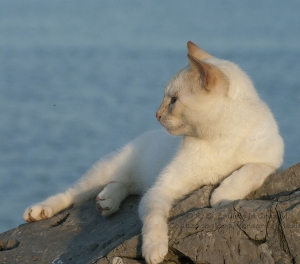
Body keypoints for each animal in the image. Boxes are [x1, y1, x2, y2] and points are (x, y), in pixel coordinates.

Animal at [23, 42, 284, 262]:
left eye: (174, 100)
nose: (156, 115)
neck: (218, 137)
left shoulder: (272, 161)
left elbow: (251, 169)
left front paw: (224, 194)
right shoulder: (160, 191)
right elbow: (154, 221)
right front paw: (154, 249)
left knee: (125, 185)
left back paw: (107, 200)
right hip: (103, 171)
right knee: (72, 193)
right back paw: (40, 211)